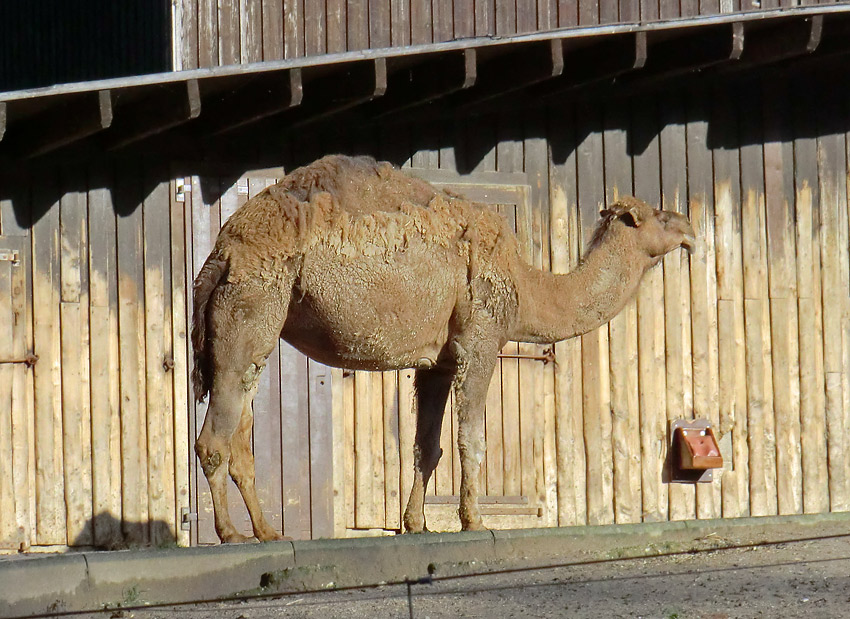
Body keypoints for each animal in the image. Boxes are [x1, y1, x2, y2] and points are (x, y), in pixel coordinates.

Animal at [189, 154, 692, 544]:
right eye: (657, 216)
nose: (688, 225)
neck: (527, 287)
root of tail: (221, 252)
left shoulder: (439, 361)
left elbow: (426, 446)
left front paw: (416, 524)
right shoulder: (480, 338)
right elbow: (472, 437)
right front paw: (474, 521)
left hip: (254, 324)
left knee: (240, 426)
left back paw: (266, 532)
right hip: (254, 302)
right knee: (213, 436)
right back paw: (231, 535)